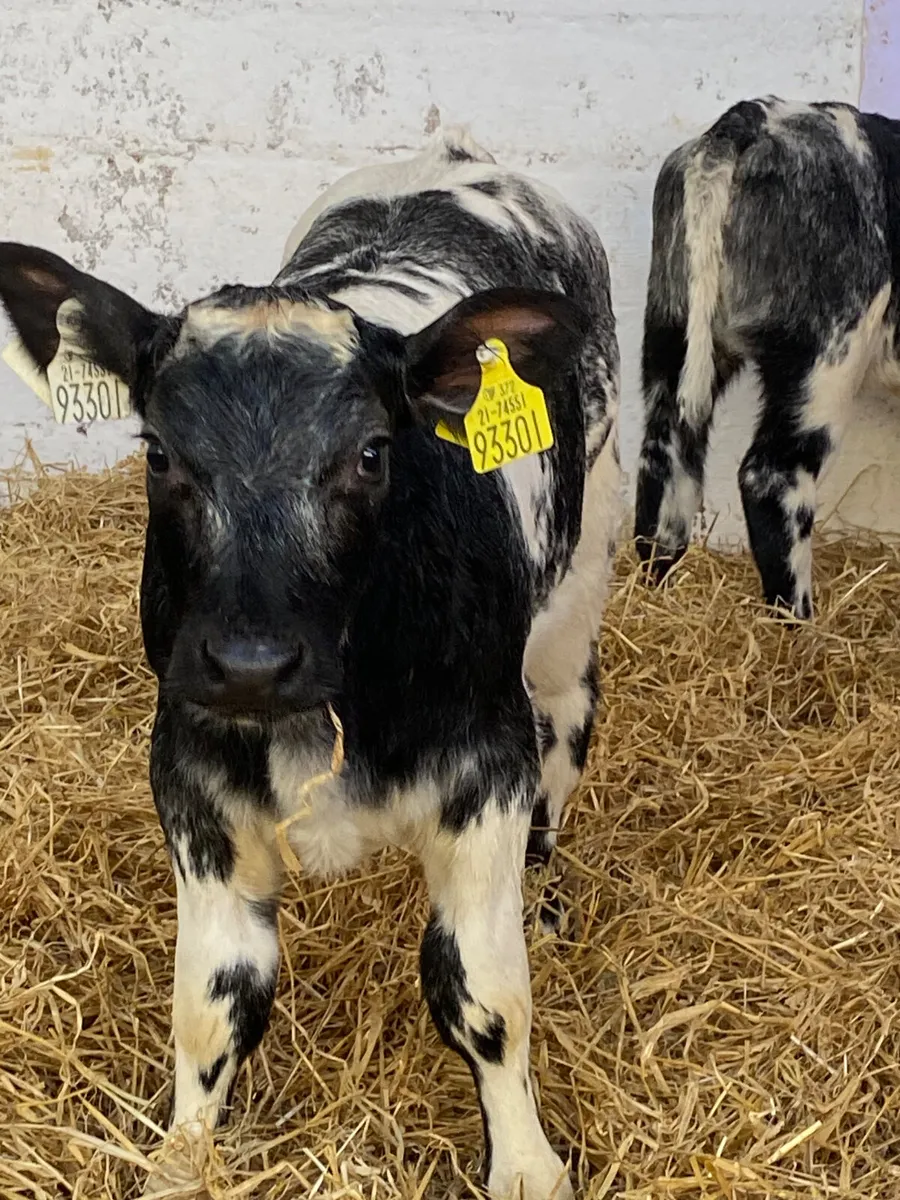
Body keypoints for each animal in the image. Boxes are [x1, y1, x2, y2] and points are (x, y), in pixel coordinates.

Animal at [0, 128, 620, 1199]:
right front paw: (184, 1160)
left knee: (568, 723)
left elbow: (484, 991)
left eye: (371, 453)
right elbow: (216, 998)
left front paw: (528, 1165)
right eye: (158, 453)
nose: (252, 661)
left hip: (574, 592)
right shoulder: (191, 772)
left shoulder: (487, 766)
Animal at [633, 96, 900, 618]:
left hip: (673, 326)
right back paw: (799, 622)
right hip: (824, 355)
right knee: (772, 477)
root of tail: (756, 116)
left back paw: (657, 588)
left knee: (664, 456)